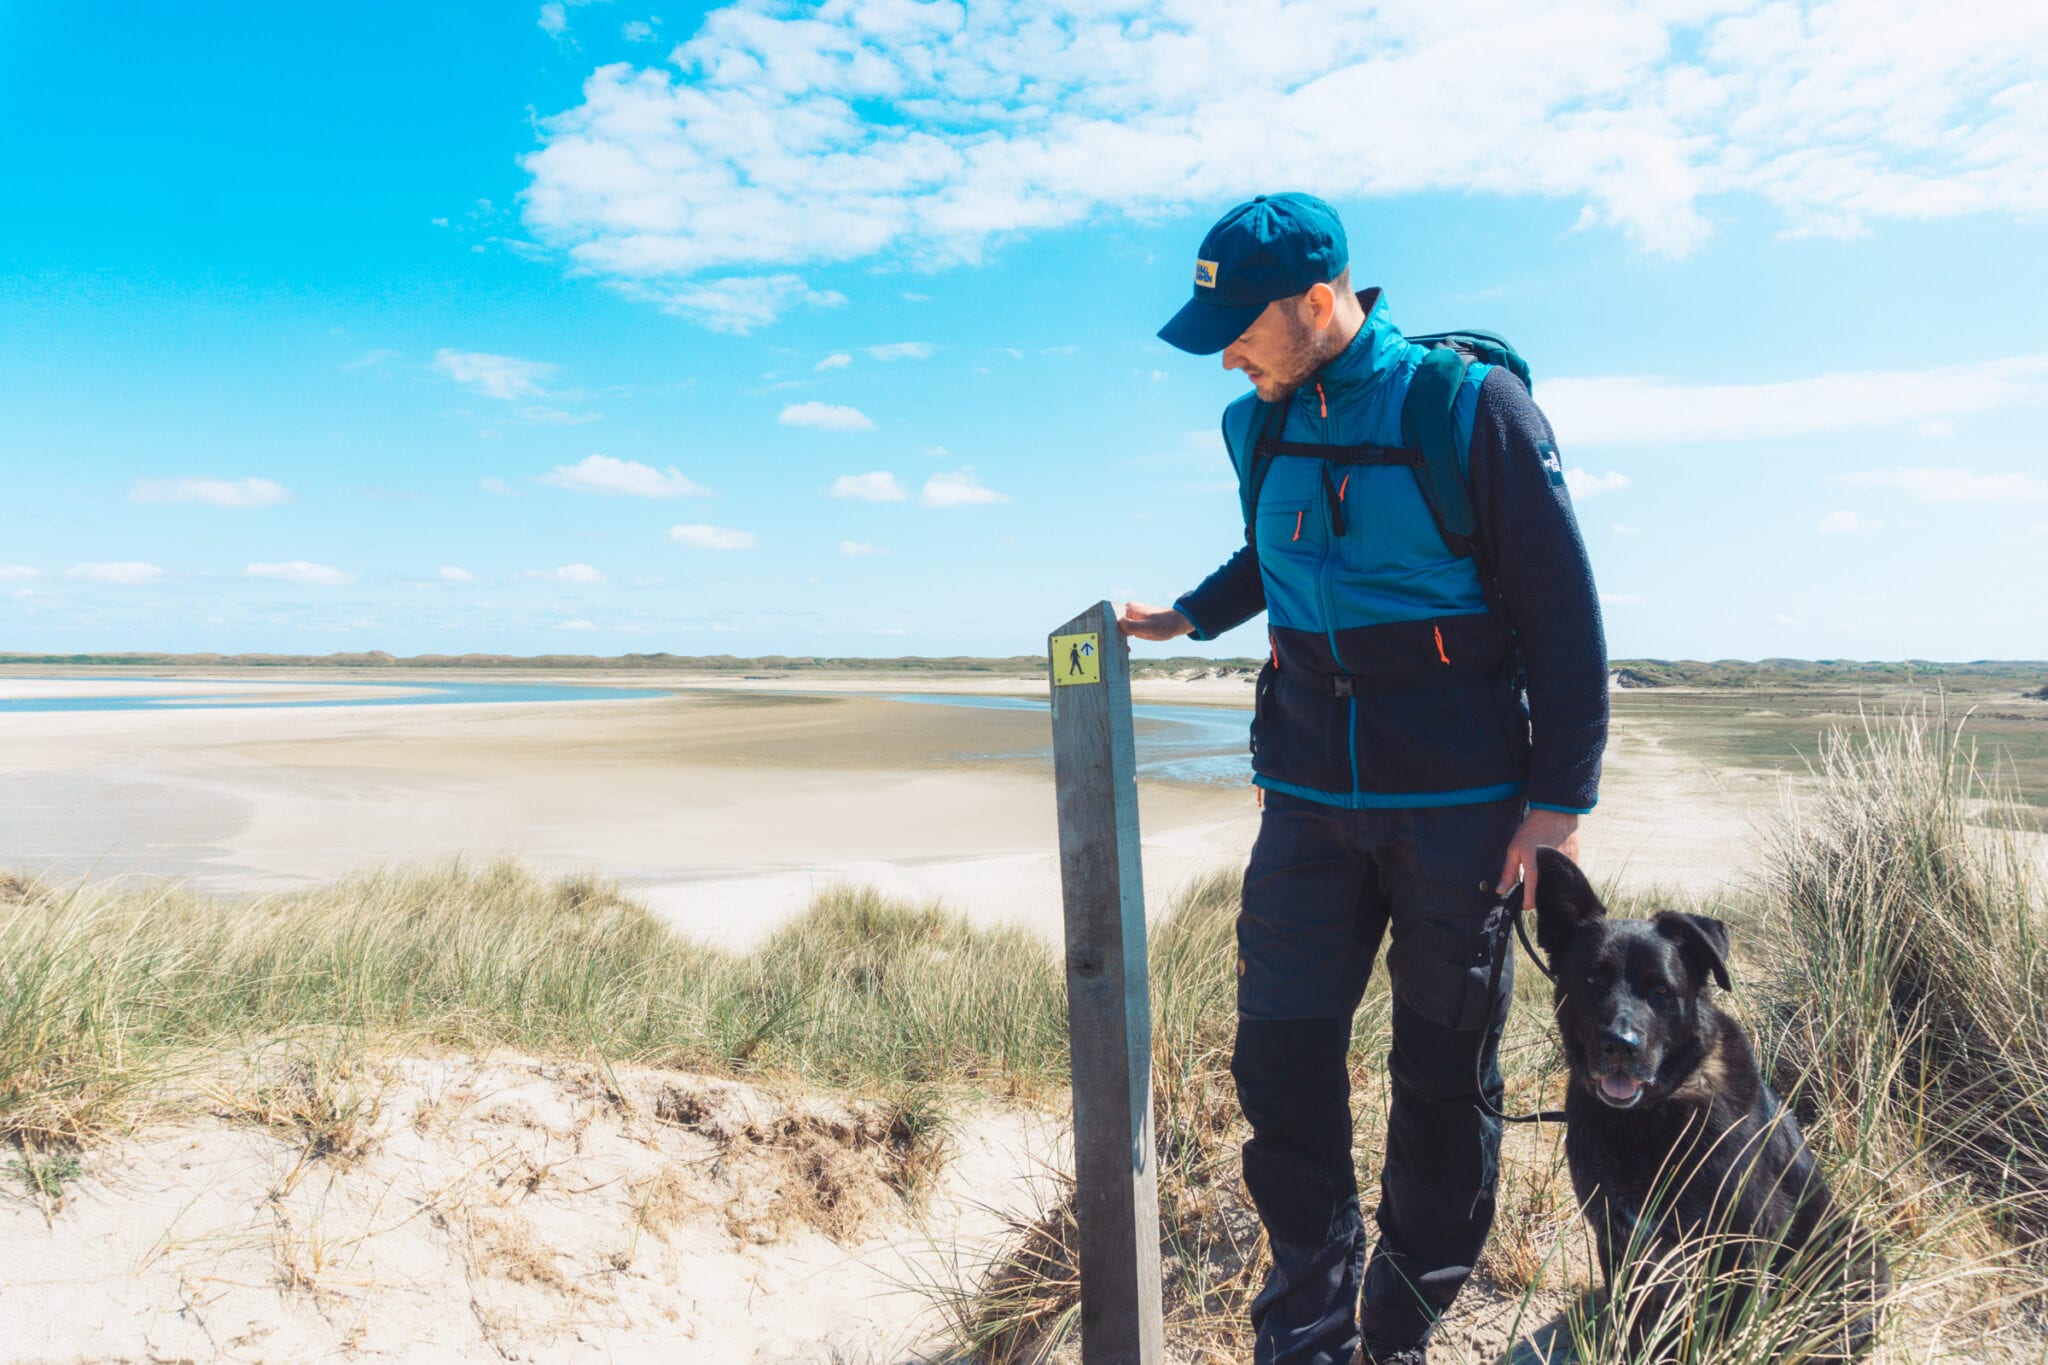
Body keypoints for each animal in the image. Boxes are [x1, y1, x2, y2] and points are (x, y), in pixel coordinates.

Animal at [1540, 847, 1884, 1358]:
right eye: (1590, 980)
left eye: (1660, 990)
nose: (1620, 1046)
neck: (1653, 1113)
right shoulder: (1619, 1242)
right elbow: (1630, 1326)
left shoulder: (1741, 1246)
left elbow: (1726, 1335)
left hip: (1850, 1258)